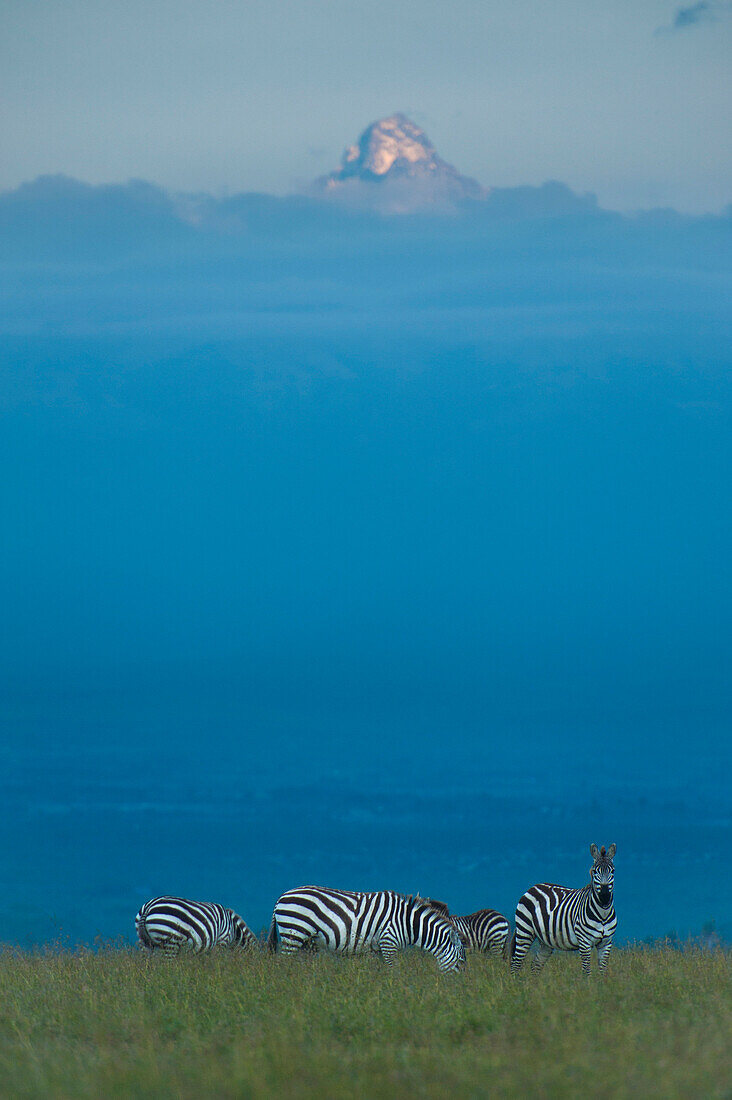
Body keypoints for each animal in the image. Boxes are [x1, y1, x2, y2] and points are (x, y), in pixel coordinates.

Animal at [267, 884, 462, 972]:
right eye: (461, 961)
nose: (458, 988)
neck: (407, 923)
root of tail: (281, 897)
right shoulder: (388, 942)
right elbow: (394, 970)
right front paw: (398, 990)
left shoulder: (378, 949)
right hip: (293, 933)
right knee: (284, 963)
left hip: (306, 942)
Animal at [508, 844, 616, 976]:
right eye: (595, 871)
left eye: (613, 871)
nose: (605, 897)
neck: (602, 915)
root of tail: (533, 887)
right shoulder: (584, 942)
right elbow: (586, 972)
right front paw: (588, 982)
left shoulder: (606, 943)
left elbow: (602, 973)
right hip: (525, 931)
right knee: (516, 964)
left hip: (545, 940)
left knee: (535, 964)